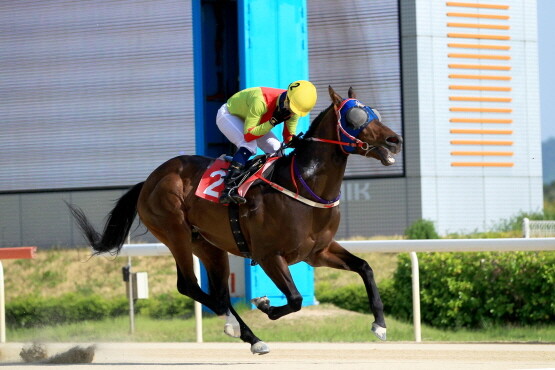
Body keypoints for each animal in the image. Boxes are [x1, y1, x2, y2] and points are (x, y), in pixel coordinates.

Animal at [69, 85, 404, 354]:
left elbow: (365, 267)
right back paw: (239, 328)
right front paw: (266, 305)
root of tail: (150, 180)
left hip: (208, 245)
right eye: (355, 117)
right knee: (190, 286)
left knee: (217, 293)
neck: (303, 184)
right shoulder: (269, 255)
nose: (394, 140)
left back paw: (247, 334)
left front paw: (380, 325)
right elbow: (295, 299)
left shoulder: (317, 252)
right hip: (175, 233)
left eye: (374, 112)